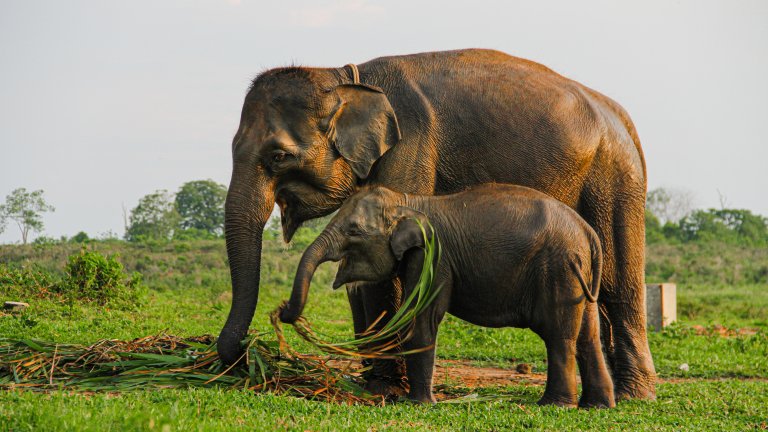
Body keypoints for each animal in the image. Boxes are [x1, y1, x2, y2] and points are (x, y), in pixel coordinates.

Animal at [280, 184, 616, 406]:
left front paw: (417, 403)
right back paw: (596, 405)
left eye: (354, 231)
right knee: (587, 335)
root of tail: (589, 234)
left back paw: (554, 404)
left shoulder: (433, 257)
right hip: (579, 274)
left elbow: (422, 319)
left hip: (558, 268)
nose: (283, 309)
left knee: (559, 336)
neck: (407, 201)